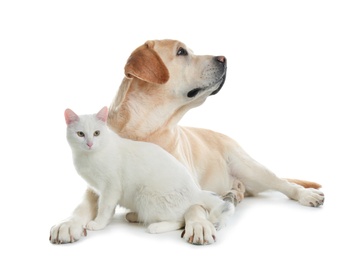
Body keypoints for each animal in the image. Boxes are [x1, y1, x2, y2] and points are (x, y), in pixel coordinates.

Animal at [51, 106, 235, 244]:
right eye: (80, 134)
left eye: (97, 133)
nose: (89, 143)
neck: (90, 156)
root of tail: (197, 190)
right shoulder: (98, 189)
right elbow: (102, 208)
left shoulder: (111, 187)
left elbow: (104, 208)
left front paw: (98, 224)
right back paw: (134, 215)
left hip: (146, 196)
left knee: (180, 219)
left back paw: (155, 226)